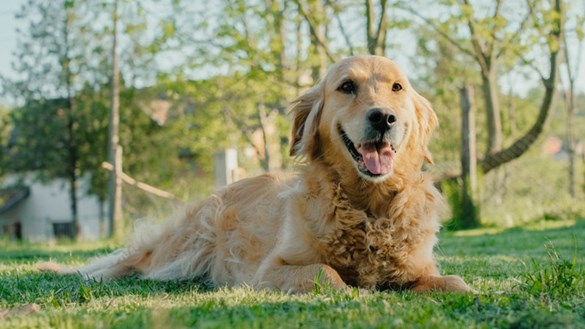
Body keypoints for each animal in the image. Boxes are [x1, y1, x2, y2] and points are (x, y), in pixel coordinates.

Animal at [40, 55, 470, 292]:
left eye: (397, 88)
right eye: (347, 86)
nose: (383, 117)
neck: (368, 207)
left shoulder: (418, 268)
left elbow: (454, 283)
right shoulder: (271, 270)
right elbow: (326, 273)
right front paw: (354, 290)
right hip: (182, 250)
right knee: (129, 264)